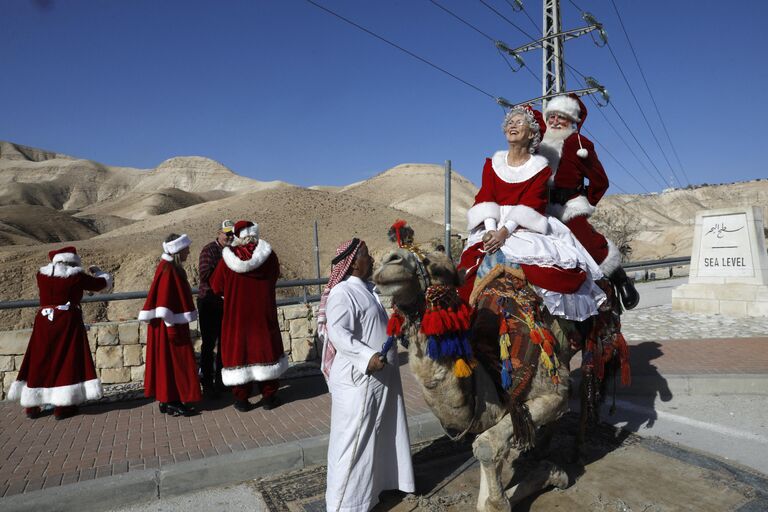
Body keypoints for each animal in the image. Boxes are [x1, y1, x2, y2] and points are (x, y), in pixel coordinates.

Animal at [374, 246, 576, 510]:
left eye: (440, 269)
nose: (388, 262)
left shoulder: (554, 392)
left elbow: (486, 447)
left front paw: (552, 474)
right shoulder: (495, 409)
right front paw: (550, 472)